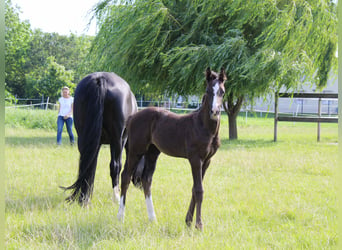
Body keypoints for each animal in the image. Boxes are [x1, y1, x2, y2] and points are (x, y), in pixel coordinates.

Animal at [62, 72, 141, 205]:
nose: (140, 185)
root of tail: (100, 78)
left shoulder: (96, 143)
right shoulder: (121, 140)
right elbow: (118, 166)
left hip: (84, 138)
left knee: (86, 165)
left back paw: (84, 198)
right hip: (116, 140)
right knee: (114, 166)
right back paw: (116, 197)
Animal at [118, 67, 227, 229]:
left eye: (222, 92)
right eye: (208, 91)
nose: (215, 111)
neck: (204, 126)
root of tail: (132, 117)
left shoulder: (207, 161)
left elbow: (194, 189)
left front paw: (188, 221)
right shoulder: (195, 159)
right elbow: (199, 190)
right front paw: (198, 225)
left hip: (152, 152)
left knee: (146, 179)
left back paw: (153, 218)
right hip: (136, 150)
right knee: (125, 176)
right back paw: (121, 217)